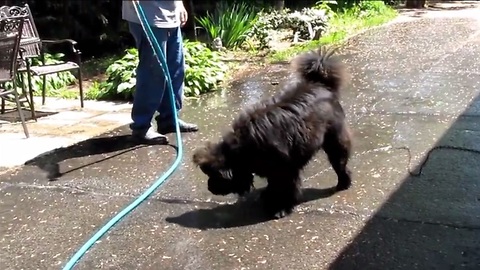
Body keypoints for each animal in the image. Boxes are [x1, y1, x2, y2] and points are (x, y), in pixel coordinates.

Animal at [193, 46, 354, 219]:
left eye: (213, 175)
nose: (210, 187)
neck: (242, 150)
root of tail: (321, 84)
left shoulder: (285, 169)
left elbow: (285, 188)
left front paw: (280, 208)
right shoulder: (273, 170)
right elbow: (273, 186)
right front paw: (269, 198)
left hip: (335, 141)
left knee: (340, 163)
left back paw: (343, 183)